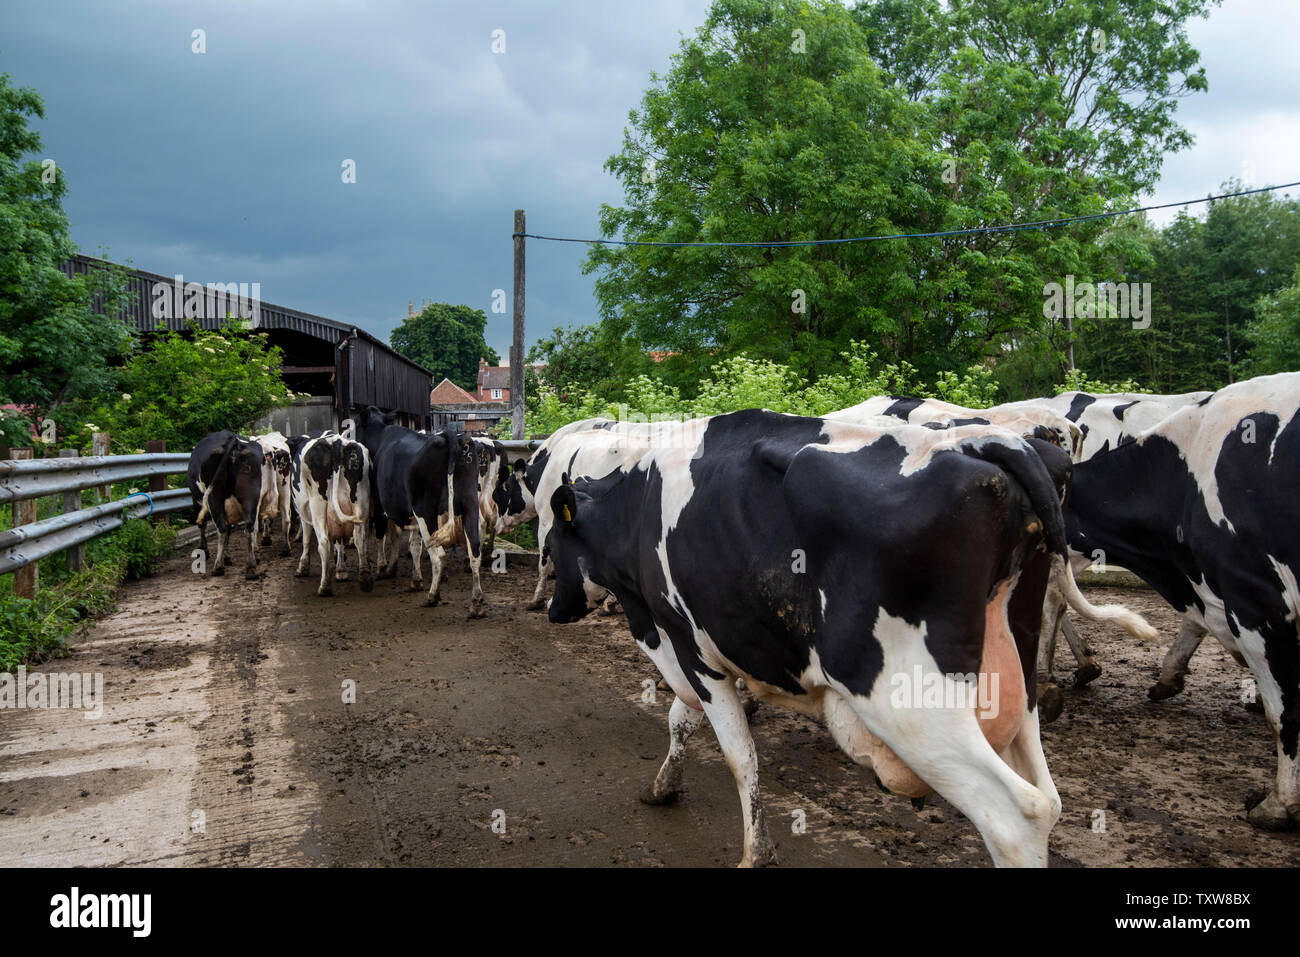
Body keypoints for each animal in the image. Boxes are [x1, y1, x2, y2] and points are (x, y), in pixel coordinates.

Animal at [186, 429, 264, 580]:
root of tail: (232, 440)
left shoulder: (197, 501)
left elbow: (202, 524)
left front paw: (204, 550)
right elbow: (230, 528)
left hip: (213, 496)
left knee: (221, 527)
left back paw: (218, 567)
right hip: (251, 494)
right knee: (250, 526)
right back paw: (251, 566)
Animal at [293, 433, 374, 596]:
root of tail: (336, 442)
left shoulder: (304, 512)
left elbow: (306, 539)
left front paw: (303, 567)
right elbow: (340, 542)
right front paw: (341, 570)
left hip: (317, 504)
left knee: (324, 543)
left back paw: (324, 586)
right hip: (360, 499)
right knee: (360, 539)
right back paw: (365, 578)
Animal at [355, 409, 488, 618]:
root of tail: (449, 437)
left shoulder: (380, 505)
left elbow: (383, 536)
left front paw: (382, 568)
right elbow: (414, 545)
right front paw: (414, 579)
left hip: (425, 510)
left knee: (439, 555)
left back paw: (432, 596)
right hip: (469, 504)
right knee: (474, 550)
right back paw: (476, 603)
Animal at [543, 409, 1157, 866]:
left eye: (552, 543)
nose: (552, 609)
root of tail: (992, 443)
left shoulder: (692, 648)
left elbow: (739, 755)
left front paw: (755, 851)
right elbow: (682, 720)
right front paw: (662, 787)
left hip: (909, 699)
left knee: (1016, 816)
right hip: (1015, 678)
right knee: (1049, 798)